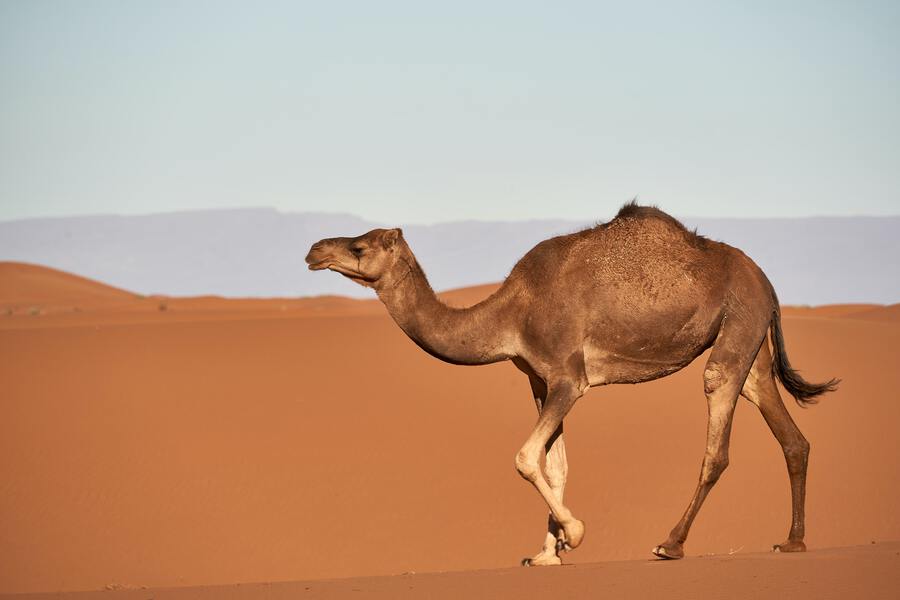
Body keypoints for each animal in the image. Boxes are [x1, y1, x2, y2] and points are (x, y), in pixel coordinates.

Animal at [305, 202, 838, 565]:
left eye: (359, 246)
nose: (313, 250)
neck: (511, 313)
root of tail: (767, 283)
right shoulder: (539, 381)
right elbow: (554, 464)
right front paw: (547, 552)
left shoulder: (568, 377)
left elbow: (525, 457)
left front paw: (574, 534)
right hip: (750, 340)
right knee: (787, 431)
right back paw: (793, 540)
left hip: (737, 324)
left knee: (717, 434)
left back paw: (670, 543)